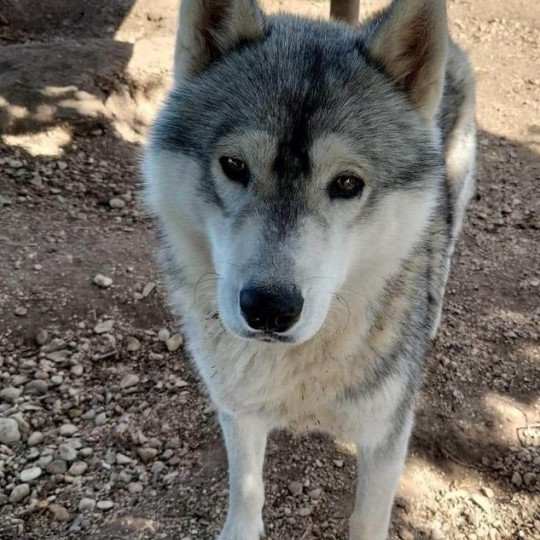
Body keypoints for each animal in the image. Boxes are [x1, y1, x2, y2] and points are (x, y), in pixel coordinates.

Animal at [142, 0, 472, 536]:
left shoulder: (387, 435)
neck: (296, 366)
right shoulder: (237, 409)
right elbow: (246, 489)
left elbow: (368, 521)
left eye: (347, 183)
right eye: (234, 166)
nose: (269, 308)